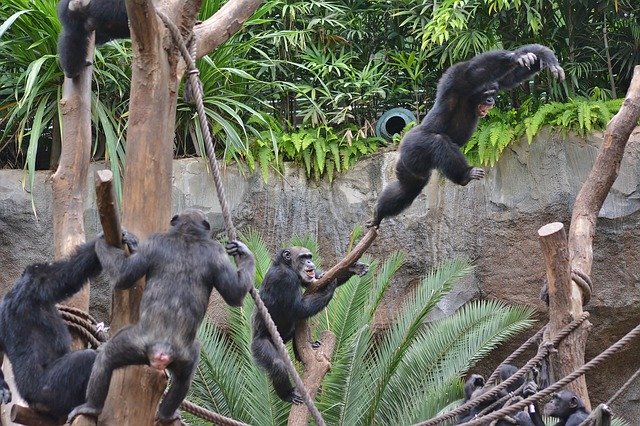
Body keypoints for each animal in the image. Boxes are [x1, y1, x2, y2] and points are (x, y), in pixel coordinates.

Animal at [0, 238, 104, 422]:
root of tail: (33, 403)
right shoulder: (37, 281)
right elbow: (67, 275)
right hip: (49, 391)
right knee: (86, 359)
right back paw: (90, 406)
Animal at [67, 210, 252, 422]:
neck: (187, 234)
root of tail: (162, 350)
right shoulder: (218, 254)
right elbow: (235, 294)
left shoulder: (154, 242)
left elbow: (124, 276)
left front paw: (103, 241)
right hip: (186, 357)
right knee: (183, 380)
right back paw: (166, 415)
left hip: (134, 342)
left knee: (106, 358)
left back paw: (91, 406)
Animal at [251, 246, 370, 402]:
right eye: (303, 257)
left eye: (309, 256)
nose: (309, 261)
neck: (286, 265)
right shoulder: (285, 278)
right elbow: (299, 308)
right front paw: (330, 287)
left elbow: (316, 281)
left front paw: (354, 267)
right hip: (259, 344)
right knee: (277, 364)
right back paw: (288, 394)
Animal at [364, 44, 564, 226]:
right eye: (487, 93)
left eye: (493, 92)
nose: (491, 100)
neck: (470, 99)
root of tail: (401, 146)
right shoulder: (457, 83)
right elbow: (470, 70)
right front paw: (516, 56)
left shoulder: (498, 82)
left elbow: (513, 76)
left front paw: (544, 57)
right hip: (415, 144)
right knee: (438, 142)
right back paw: (465, 175)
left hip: (410, 167)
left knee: (405, 189)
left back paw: (378, 213)